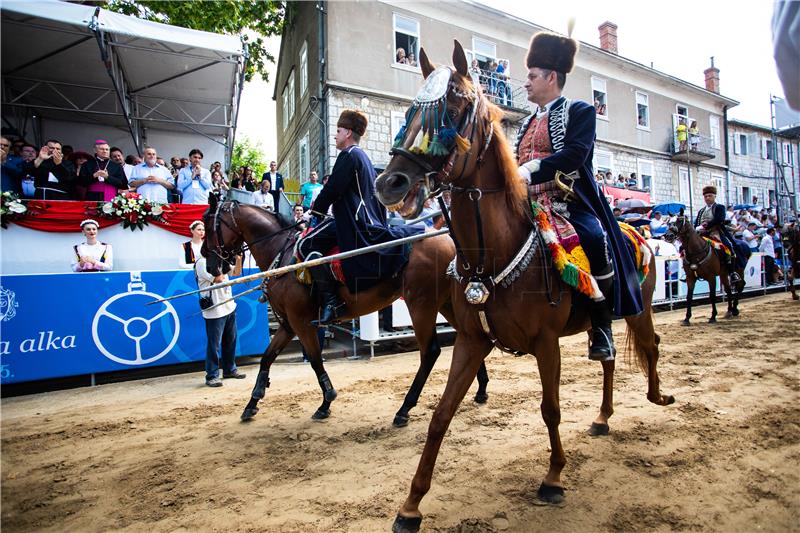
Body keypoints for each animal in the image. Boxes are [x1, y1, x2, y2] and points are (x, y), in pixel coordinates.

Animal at [200, 193, 490, 426]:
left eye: (209, 224)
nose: (210, 264)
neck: (283, 255)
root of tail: (451, 242)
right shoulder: (288, 324)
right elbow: (267, 358)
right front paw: (252, 403)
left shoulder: (301, 322)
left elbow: (315, 359)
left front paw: (326, 401)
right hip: (446, 304)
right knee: (471, 339)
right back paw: (480, 389)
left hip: (421, 304)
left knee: (430, 352)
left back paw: (405, 408)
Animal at [372, 42, 672, 532]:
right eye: (413, 108)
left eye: (455, 107)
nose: (389, 183)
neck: (492, 253)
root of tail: (639, 232)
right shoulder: (471, 341)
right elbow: (440, 416)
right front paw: (411, 505)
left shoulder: (547, 343)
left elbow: (550, 409)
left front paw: (553, 477)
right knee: (609, 357)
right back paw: (603, 417)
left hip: (638, 305)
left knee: (650, 345)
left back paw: (658, 395)